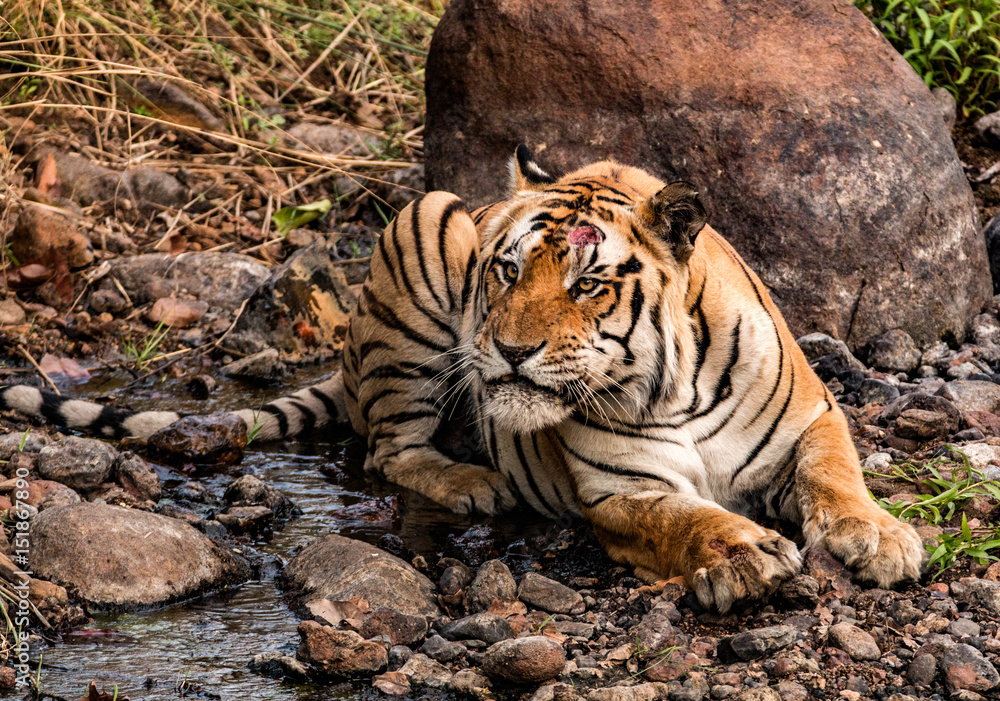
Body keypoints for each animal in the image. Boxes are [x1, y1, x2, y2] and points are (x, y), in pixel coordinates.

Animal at [0, 146, 926, 612]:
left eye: (589, 283)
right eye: (508, 271)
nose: (509, 350)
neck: (677, 386)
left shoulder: (816, 416)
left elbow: (837, 475)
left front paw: (880, 537)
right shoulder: (620, 490)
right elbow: (686, 519)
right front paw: (745, 553)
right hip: (423, 234)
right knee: (389, 450)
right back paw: (473, 481)